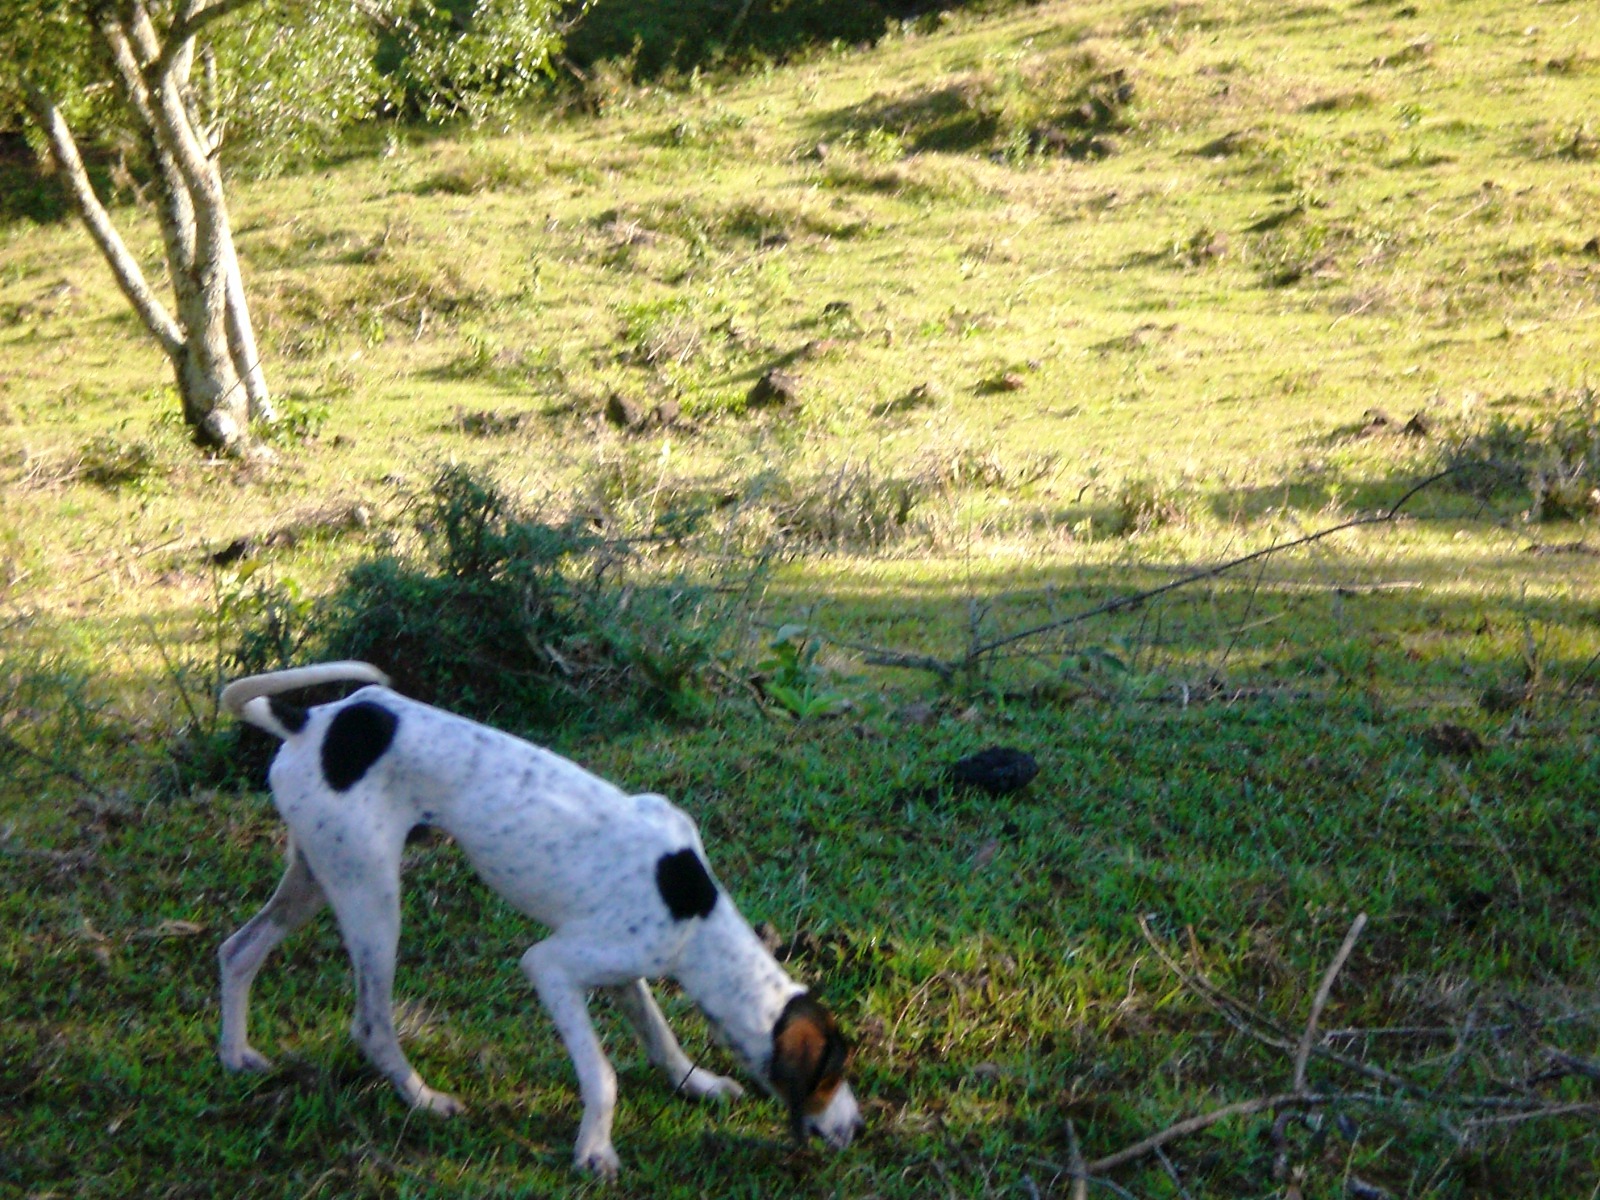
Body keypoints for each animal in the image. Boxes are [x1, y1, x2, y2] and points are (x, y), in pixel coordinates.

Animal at [222, 659, 864, 1177]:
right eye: (828, 1078)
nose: (857, 1128)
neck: (696, 921)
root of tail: (310, 720)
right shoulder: (553, 966)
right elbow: (602, 1076)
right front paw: (595, 1150)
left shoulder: (621, 971)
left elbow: (661, 1038)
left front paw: (696, 1083)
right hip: (371, 896)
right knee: (372, 1025)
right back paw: (424, 1098)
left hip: (317, 876)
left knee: (237, 951)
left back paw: (236, 1056)